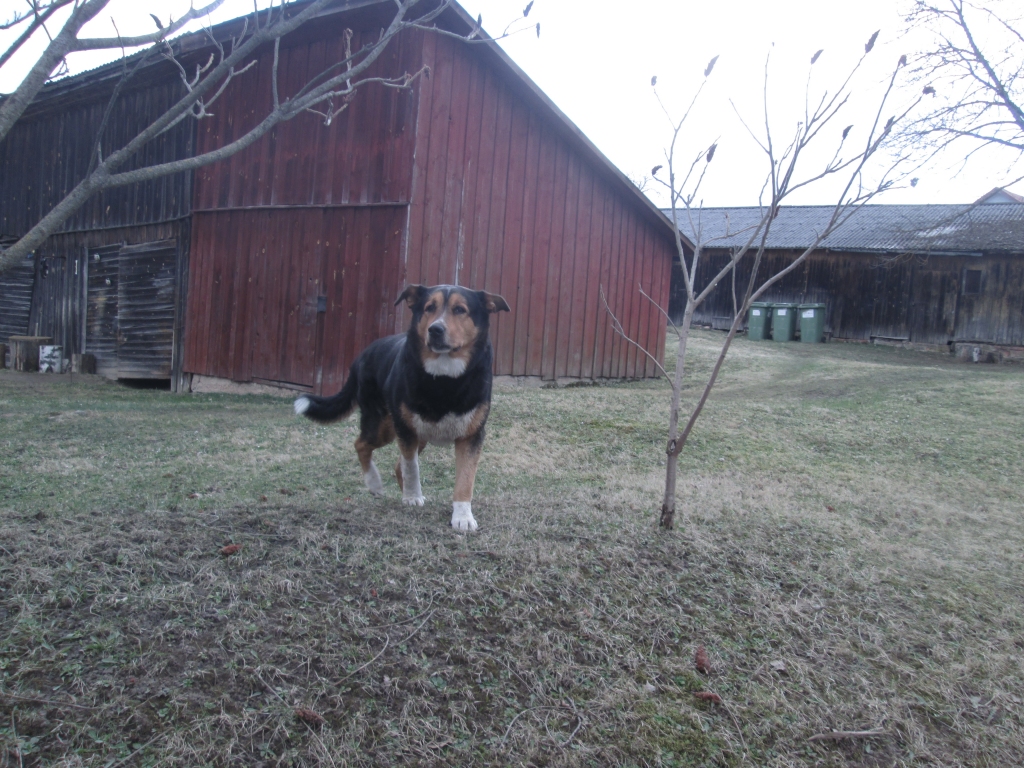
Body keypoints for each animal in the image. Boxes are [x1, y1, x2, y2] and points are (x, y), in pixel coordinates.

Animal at [292, 286, 507, 532]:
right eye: (429, 307)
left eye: (460, 309)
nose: (435, 329)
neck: (444, 377)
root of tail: (362, 355)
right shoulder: (405, 429)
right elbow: (412, 467)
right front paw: (412, 496)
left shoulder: (471, 435)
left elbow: (465, 479)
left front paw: (462, 517)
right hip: (383, 425)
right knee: (362, 445)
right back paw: (375, 483)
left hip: (417, 435)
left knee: (396, 464)